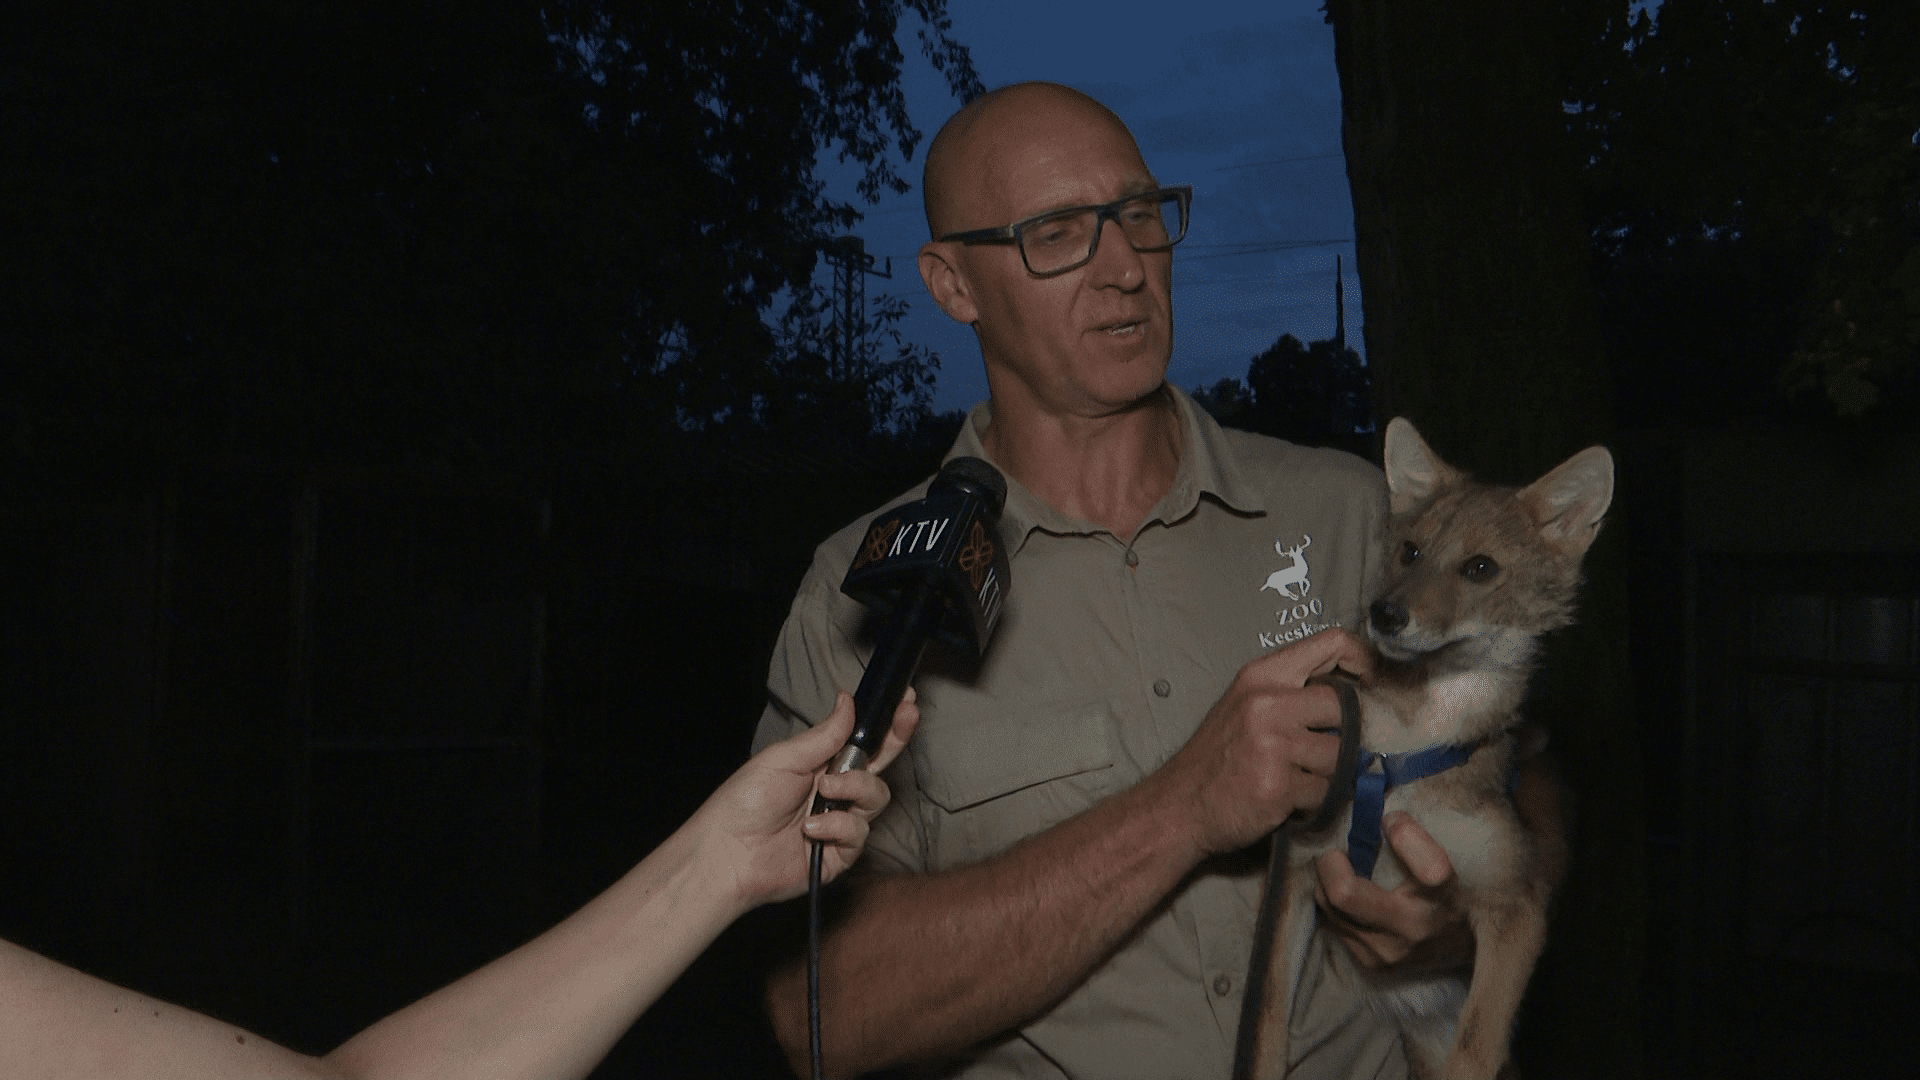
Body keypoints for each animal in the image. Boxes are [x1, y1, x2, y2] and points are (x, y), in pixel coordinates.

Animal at [1245, 417, 1613, 1080]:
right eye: (1410, 551)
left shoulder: (1515, 908)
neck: (1399, 758)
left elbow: (1477, 1049)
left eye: (1480, 567)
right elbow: (1265, 1028)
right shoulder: (1294, 874)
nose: (1384, 613)